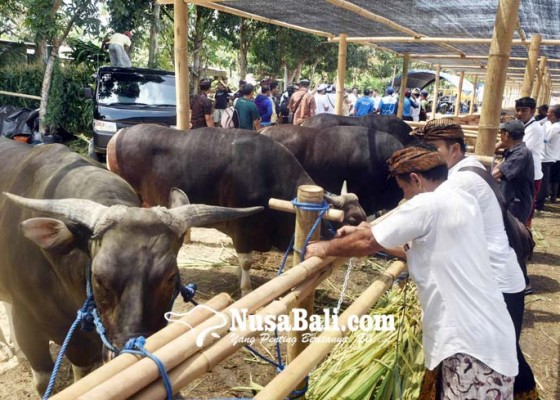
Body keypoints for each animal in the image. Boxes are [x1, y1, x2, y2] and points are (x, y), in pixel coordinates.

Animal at [106, 126, 368, 296]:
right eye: (354, 219)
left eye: (363, 215)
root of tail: (117, 136)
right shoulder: (242, 227)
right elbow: (246, 262)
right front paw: (245, 289)